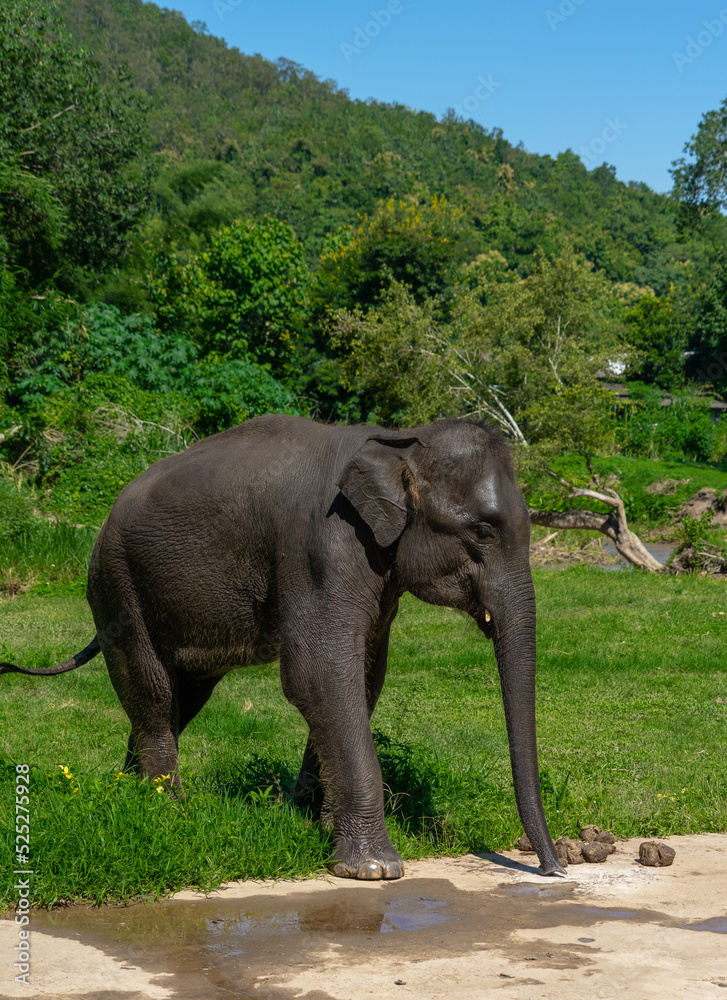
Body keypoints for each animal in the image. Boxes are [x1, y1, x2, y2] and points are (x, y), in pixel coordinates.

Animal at [1, 414, 565, 879]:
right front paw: (374, 870)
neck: (401, 438)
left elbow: (361, 678)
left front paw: (310, 820)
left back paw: (128, 793)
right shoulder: (324, 544)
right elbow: (319, 673)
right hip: (117, 585)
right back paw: (167, 810)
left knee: (178, 699)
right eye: (484, 530)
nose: (554, 867)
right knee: (155, 694)